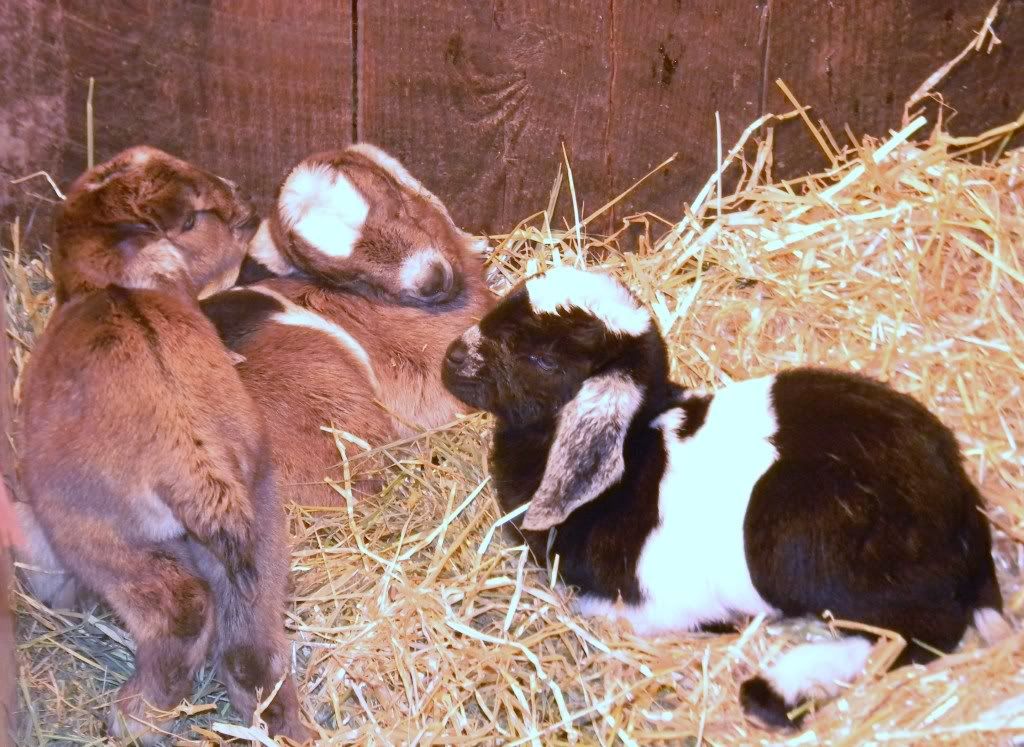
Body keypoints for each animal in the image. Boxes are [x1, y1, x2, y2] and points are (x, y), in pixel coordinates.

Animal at [17, 147, 309, 743]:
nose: (244, 201)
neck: (119, 284)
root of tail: (196, 468)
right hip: (261, 522)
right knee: (253, 642)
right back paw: (284, 725)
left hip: (104, 540)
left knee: (183, 610)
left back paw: (132, 718)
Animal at [441, 266, 1010, 728]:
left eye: (542, 359)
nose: (450, 360)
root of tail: (960, 502)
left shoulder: (658, 601)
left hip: (809, 552)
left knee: (919, 632)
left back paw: (779, 692)